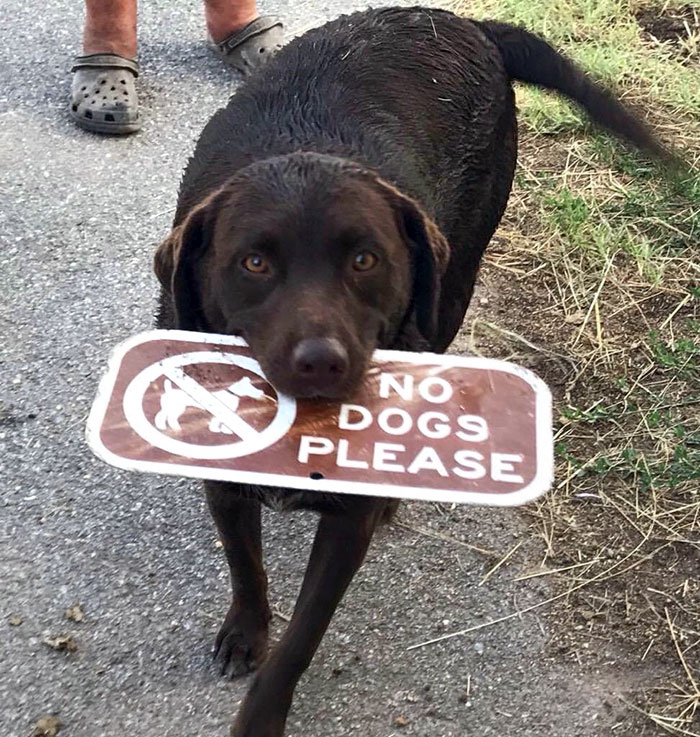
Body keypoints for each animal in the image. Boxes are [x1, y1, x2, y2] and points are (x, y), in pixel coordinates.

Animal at [153, 7, 672, 736]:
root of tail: (466, 21)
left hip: (452, 286)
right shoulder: (223, 481)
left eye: (365, 260)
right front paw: (246, 631)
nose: (322, 360)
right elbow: (246, 568)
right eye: (254, 263)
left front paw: (262, 713)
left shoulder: (345, 525)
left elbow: (302, 637)